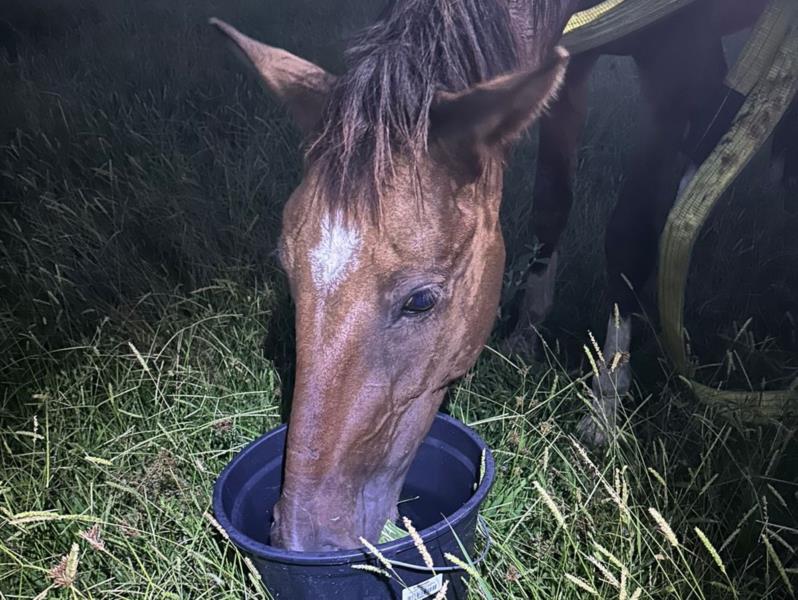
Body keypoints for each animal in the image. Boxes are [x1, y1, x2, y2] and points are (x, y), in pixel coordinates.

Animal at [211, 0, 780, 552]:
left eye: (421, 300)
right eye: (289, 273)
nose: (303, 537)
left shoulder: (678, 60)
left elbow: (629, 235)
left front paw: (604, 405)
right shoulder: (567, 65)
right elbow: (551, 203)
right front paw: (525, 334)